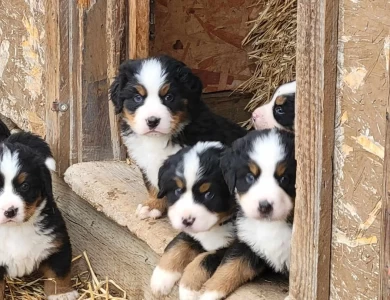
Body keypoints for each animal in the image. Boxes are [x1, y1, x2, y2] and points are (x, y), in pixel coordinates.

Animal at [0, 132, 77, 300]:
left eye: (25, 186)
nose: (10, 211)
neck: (14, 230)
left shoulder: (56, 242)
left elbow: (58, 272)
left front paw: (62, 294)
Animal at [198, 129, 296, 300]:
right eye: (250, 177)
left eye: (284, 178)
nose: (264, 206)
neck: (270, 225)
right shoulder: (247, 243)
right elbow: (228, 267)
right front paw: (208, 294)